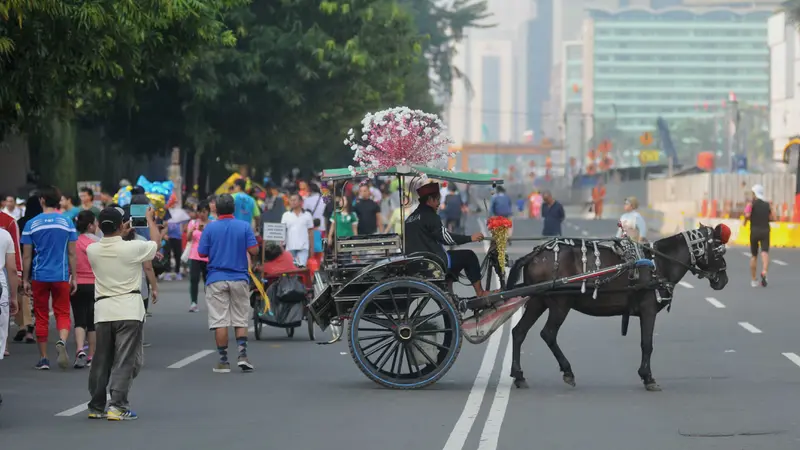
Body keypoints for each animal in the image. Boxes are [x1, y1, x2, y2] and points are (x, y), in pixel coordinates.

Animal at [506, 224, 732, 390]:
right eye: (719, 250)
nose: (723, 280)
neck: (658, 263)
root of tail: (536, 254)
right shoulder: (648, 310)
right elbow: (647, 344)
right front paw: (648, 377)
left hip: (538, 301)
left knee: (519, 331)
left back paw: (519, 375)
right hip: (560, 304)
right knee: (548, 334)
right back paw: (567, 371)